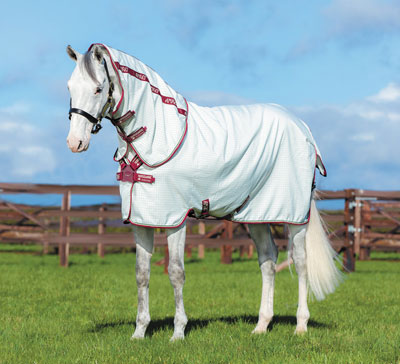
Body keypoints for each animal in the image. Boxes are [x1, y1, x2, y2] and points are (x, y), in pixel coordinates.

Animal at [65, 44, 340, 340]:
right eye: (70, 87)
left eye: (98, 88)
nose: (75, 142)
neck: (157, 139)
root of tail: (302, 128)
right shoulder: (141, 219)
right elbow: (141, 273)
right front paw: (139, 332)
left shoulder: (175, 219)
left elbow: (176, 272)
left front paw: (178, 333)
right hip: (257, 214)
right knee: (268, 259)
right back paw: (261, 326)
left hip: (294, 215)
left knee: (300, 261)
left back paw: (301, 325)